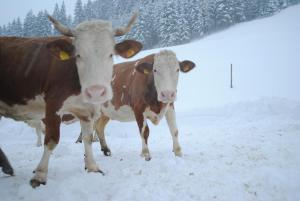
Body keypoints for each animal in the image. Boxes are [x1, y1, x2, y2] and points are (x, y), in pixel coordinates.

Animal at [0, 13, 142, 188]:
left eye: (110, 54)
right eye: (78, 55)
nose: (96, 92)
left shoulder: (87, 111)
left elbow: (88, 138)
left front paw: (92, 167)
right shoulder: (52, 106)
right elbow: (52, 140)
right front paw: (40, 175)